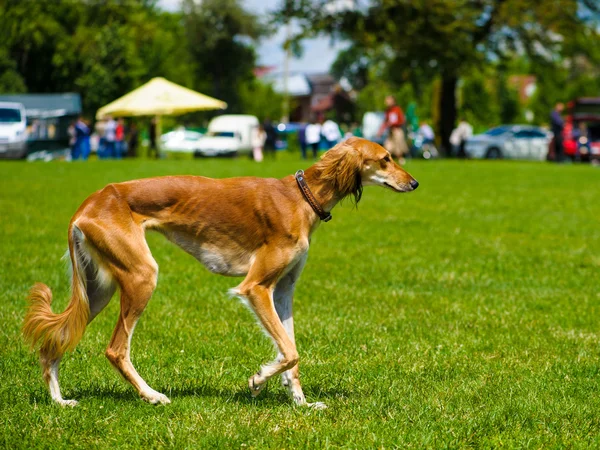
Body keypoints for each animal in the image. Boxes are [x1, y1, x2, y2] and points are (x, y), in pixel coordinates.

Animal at [22, 136, 418, 408]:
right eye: (385, 159)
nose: (414, 184)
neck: (301, 197)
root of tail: (89, 203)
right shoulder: (255, 287)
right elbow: (289, 351)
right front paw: (258, 380)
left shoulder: (283, 290)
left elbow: (291, 349)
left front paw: (301, 403)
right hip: (140, 276)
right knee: (116, 349)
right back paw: (152, 396)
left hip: (98, 289)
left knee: (54, 343)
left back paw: (59, 401)